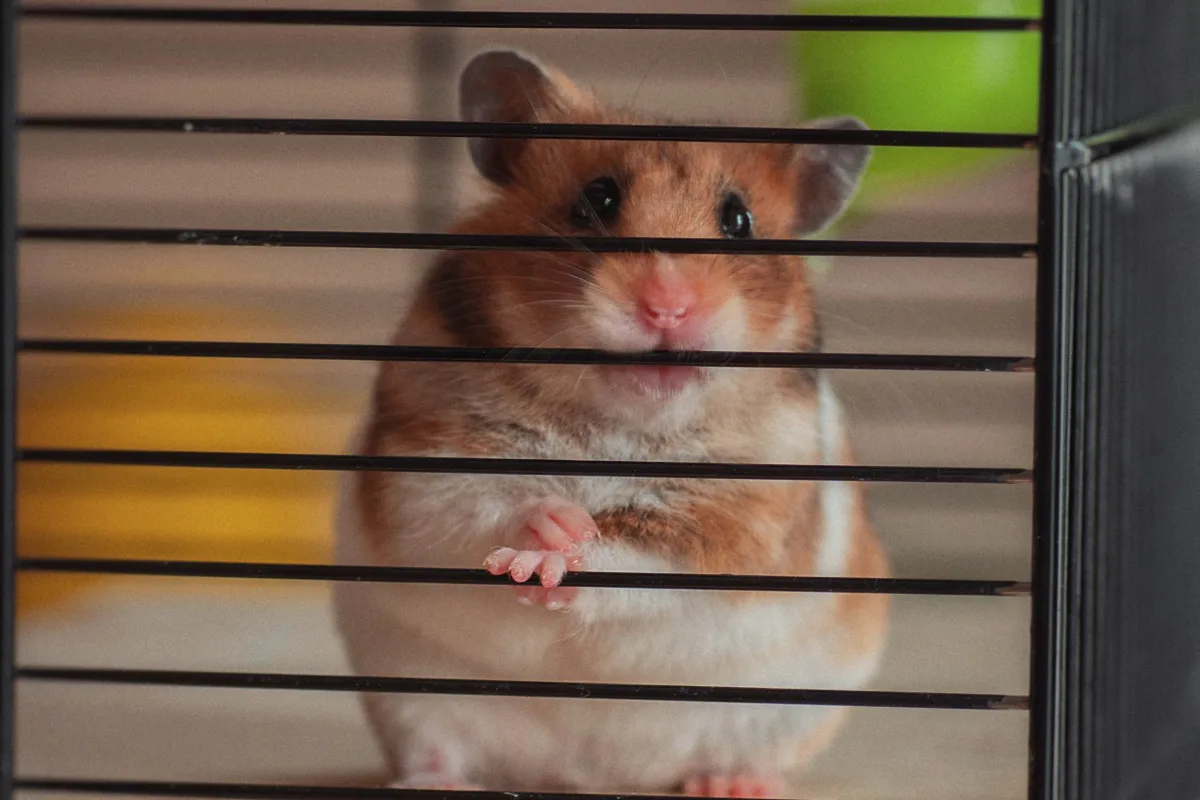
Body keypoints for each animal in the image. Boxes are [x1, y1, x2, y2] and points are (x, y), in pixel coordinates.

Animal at [333, 49, 889, 796]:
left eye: (738, 219)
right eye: (597, 198)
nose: (667, 307)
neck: (615, 424)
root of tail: (587, 776)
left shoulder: (741, 517)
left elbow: (638, 558)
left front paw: (559, 555)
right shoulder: (422, 459)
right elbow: (476, 507)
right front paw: (544, 533)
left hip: (793, 708)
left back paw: (732, 784)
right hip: (410, 697)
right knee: (436, 749)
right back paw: (434, 783)